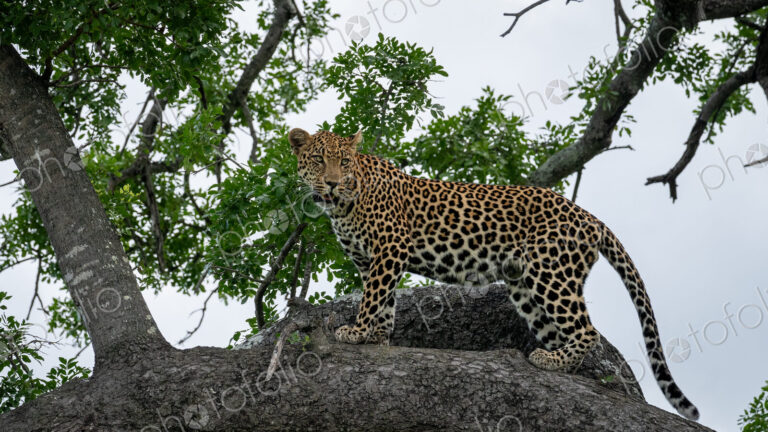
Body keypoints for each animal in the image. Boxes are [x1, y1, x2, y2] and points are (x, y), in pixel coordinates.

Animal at [288, 127, 700, 421]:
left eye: (344, 162)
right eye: (319, 160)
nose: (332, 182)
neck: (343, 204)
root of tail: (590, 217)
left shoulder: (390, 249)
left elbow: (373, 297)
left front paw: (356, 332)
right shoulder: (369, 260)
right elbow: (384, 301)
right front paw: (377, 338)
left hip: (552, 273)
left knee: (587, 331)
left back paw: (553, 361)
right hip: (524, 287)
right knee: (563, 333)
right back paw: (562, 367)